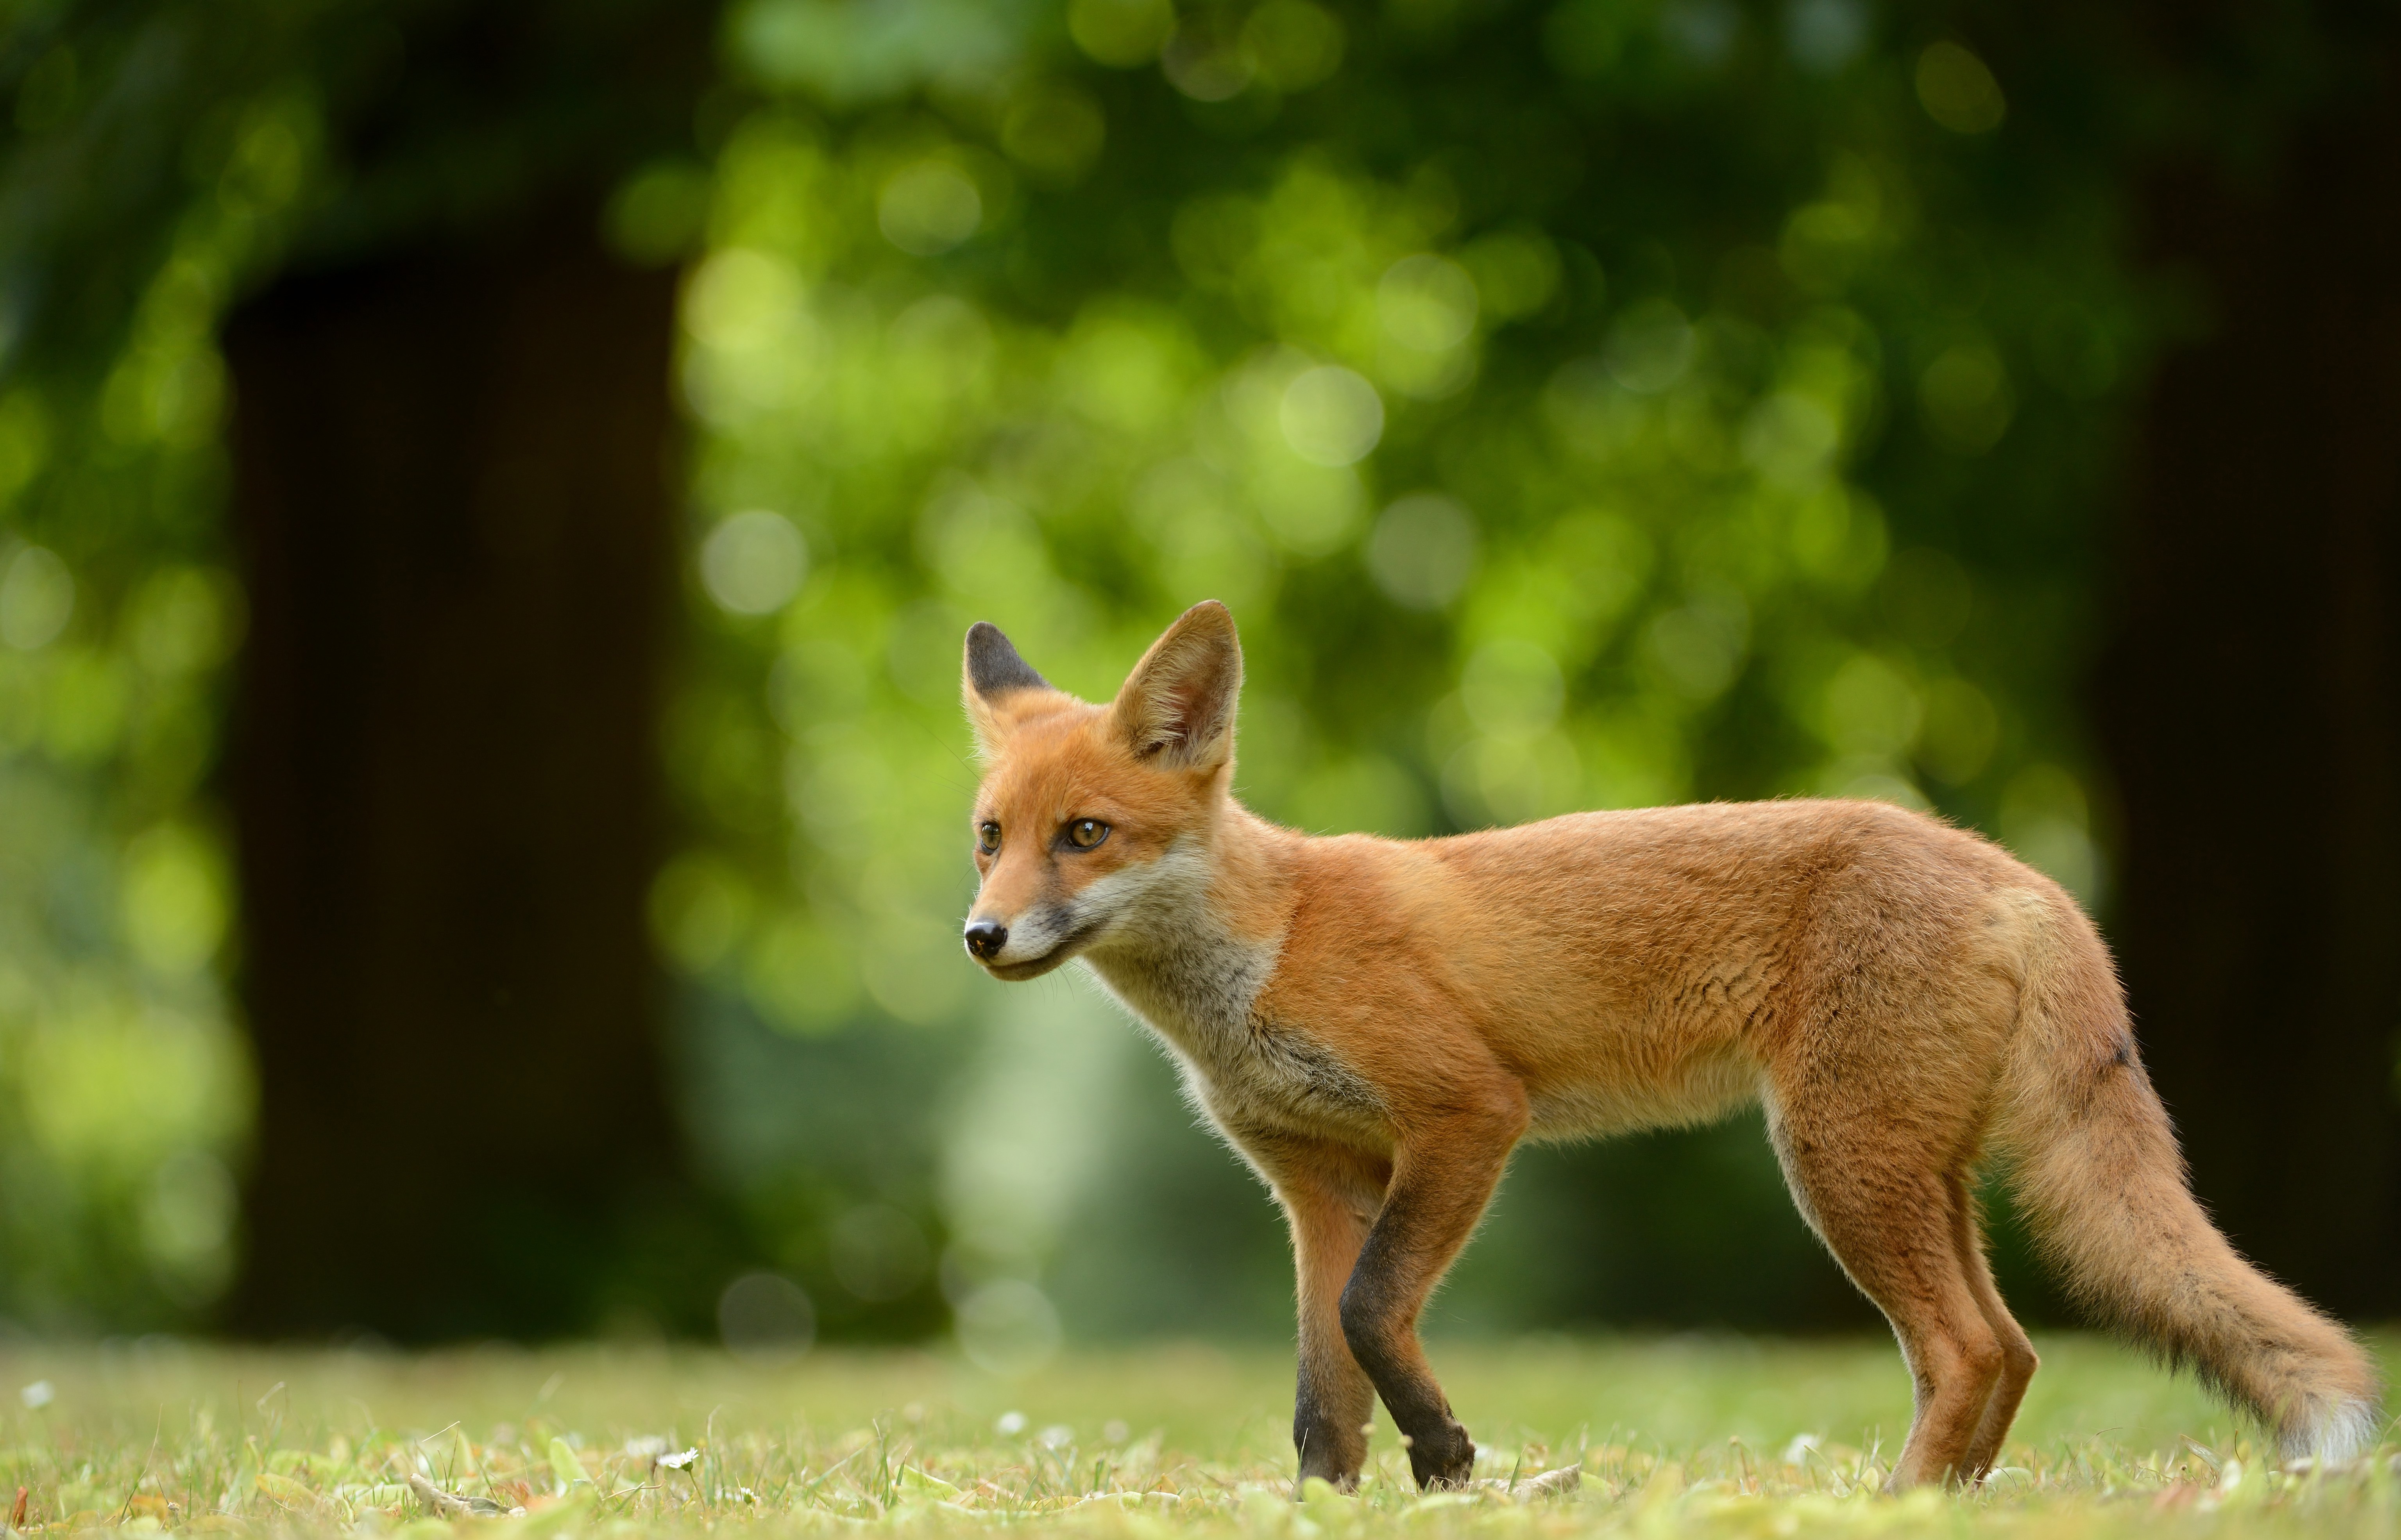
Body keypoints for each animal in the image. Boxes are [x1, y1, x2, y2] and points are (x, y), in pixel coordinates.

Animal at [955, 600, 2381, 1487]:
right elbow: (1321, 1395)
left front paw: (1446, 1456)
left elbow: (1369, 1315)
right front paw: (1343, 1499)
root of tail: (2011, 867)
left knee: (1971, 1348)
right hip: (1914, 1170)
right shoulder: (1317, 1183)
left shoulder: (1467, 1114)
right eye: (989, 836)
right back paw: (1951, 1500)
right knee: (2015, 1346)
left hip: (1836, 1161)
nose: (981, 936)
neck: (1269, 950)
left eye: (1085, 835)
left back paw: (1894, 1507)